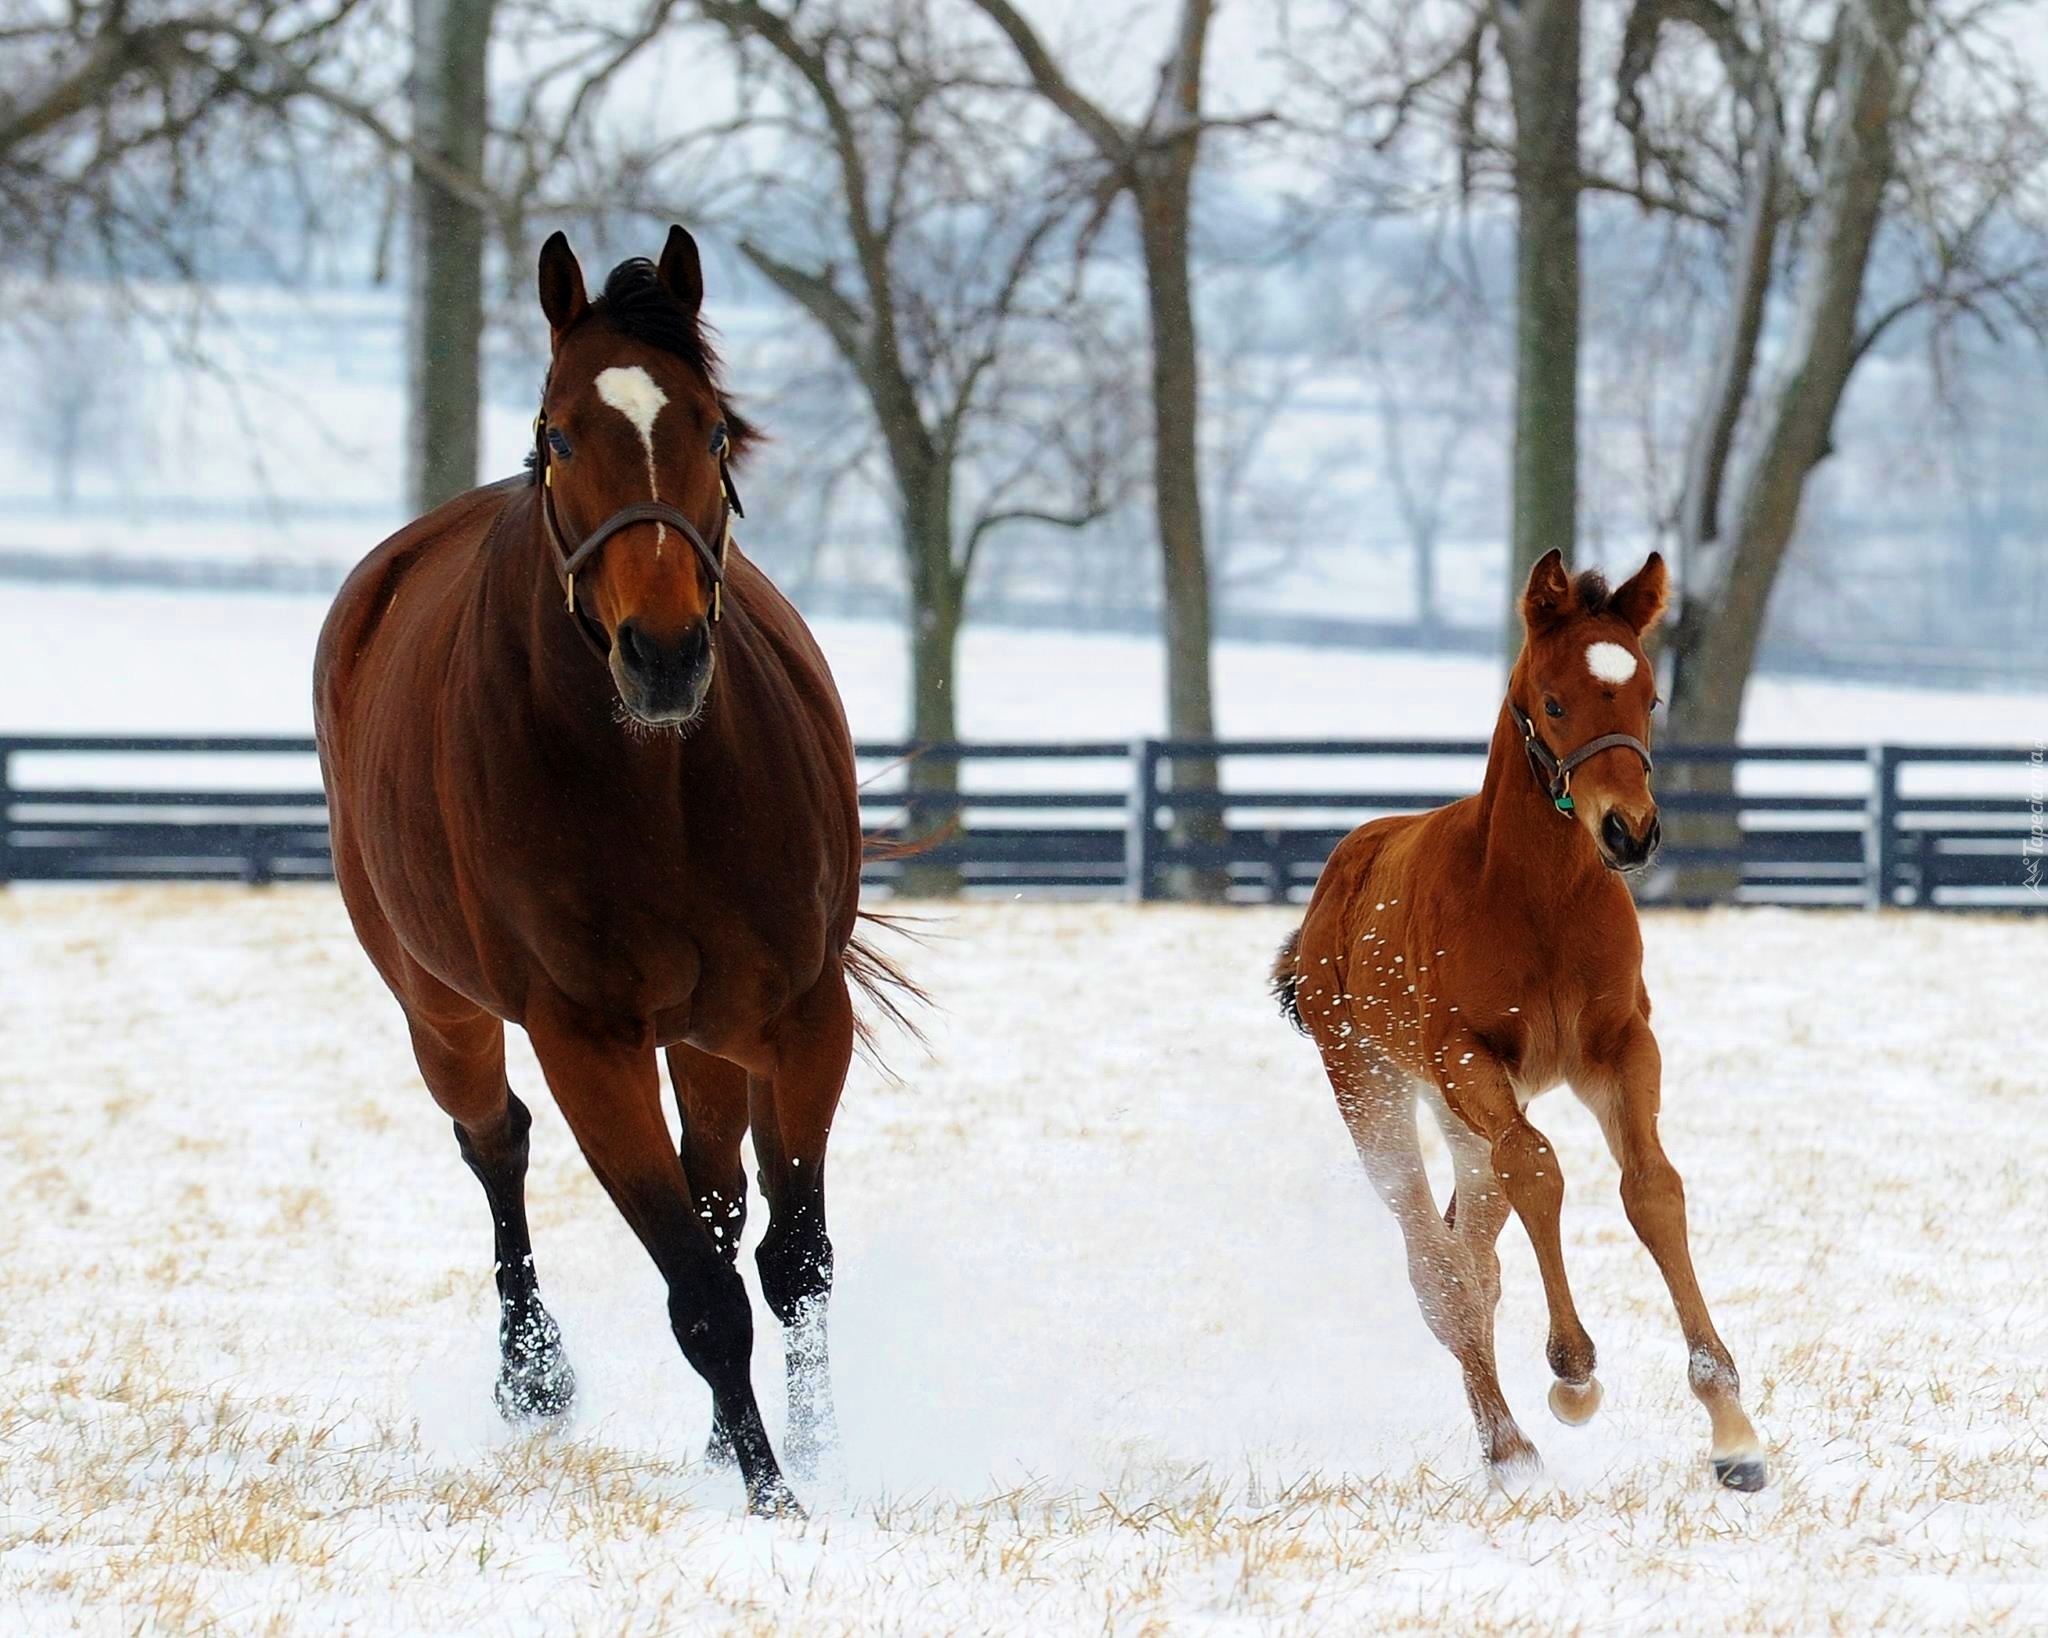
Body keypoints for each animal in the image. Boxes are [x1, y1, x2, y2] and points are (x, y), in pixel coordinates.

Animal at [313, 224, 905, 1515]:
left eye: (714, 430)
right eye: (562, 434)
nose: (664, 652)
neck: (660, 784)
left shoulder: (798, 1015)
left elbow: (792, 1260)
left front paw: (814, 1458)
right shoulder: (585, 1044)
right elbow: (701, 1297)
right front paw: (772, 1498)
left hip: (708, 1032)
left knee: (721, 1196)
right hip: (440, 1008)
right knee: (495, 1143)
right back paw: (533, 1376)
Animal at [1269, 552, 1769, 1498]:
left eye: (1649, 697)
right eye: (1555, 700)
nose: (1631, 832)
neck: (1541, 902)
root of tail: (1334, 880)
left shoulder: (1620, 1047)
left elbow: (1653, 1188)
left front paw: (1732, 1430)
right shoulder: (1467, 1055)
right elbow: (1540, 1169)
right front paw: (1573, 1369)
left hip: (1464, 1119)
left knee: (1475, 1250)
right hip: (1377, 1090)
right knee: (1435, 1263)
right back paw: (1509, 1448)